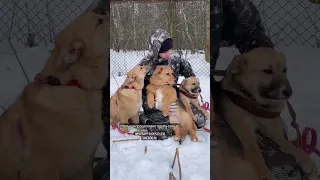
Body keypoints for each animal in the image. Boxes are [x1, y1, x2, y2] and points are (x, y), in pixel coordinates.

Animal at [211, 47, 318, 180]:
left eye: (284, 70)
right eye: (267, 71)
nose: (289, 92)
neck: (255, 104)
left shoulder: (275, 132)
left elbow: (294, 148)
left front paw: (309, 163)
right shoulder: (244, 130)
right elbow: (255, 154)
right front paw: (264, 173)